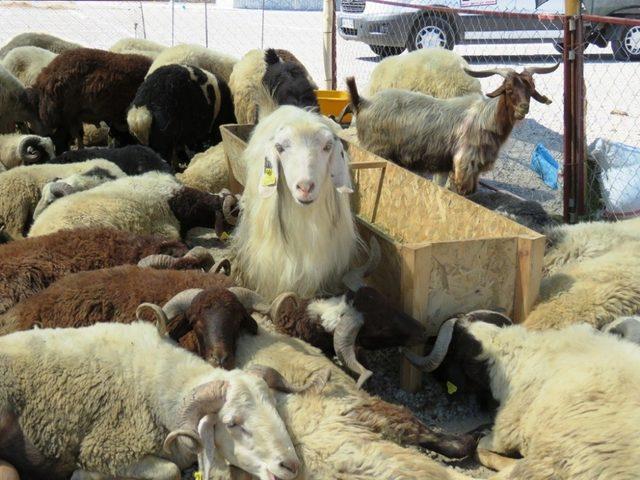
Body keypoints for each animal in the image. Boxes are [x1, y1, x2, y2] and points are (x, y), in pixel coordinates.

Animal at [344, 63, 560, 195]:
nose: (523, 108)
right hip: (375, 150)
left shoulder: (451, 167)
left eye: (531, 89)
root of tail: (363, 102)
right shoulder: (464, 165)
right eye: (508, 89)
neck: (486, 118)